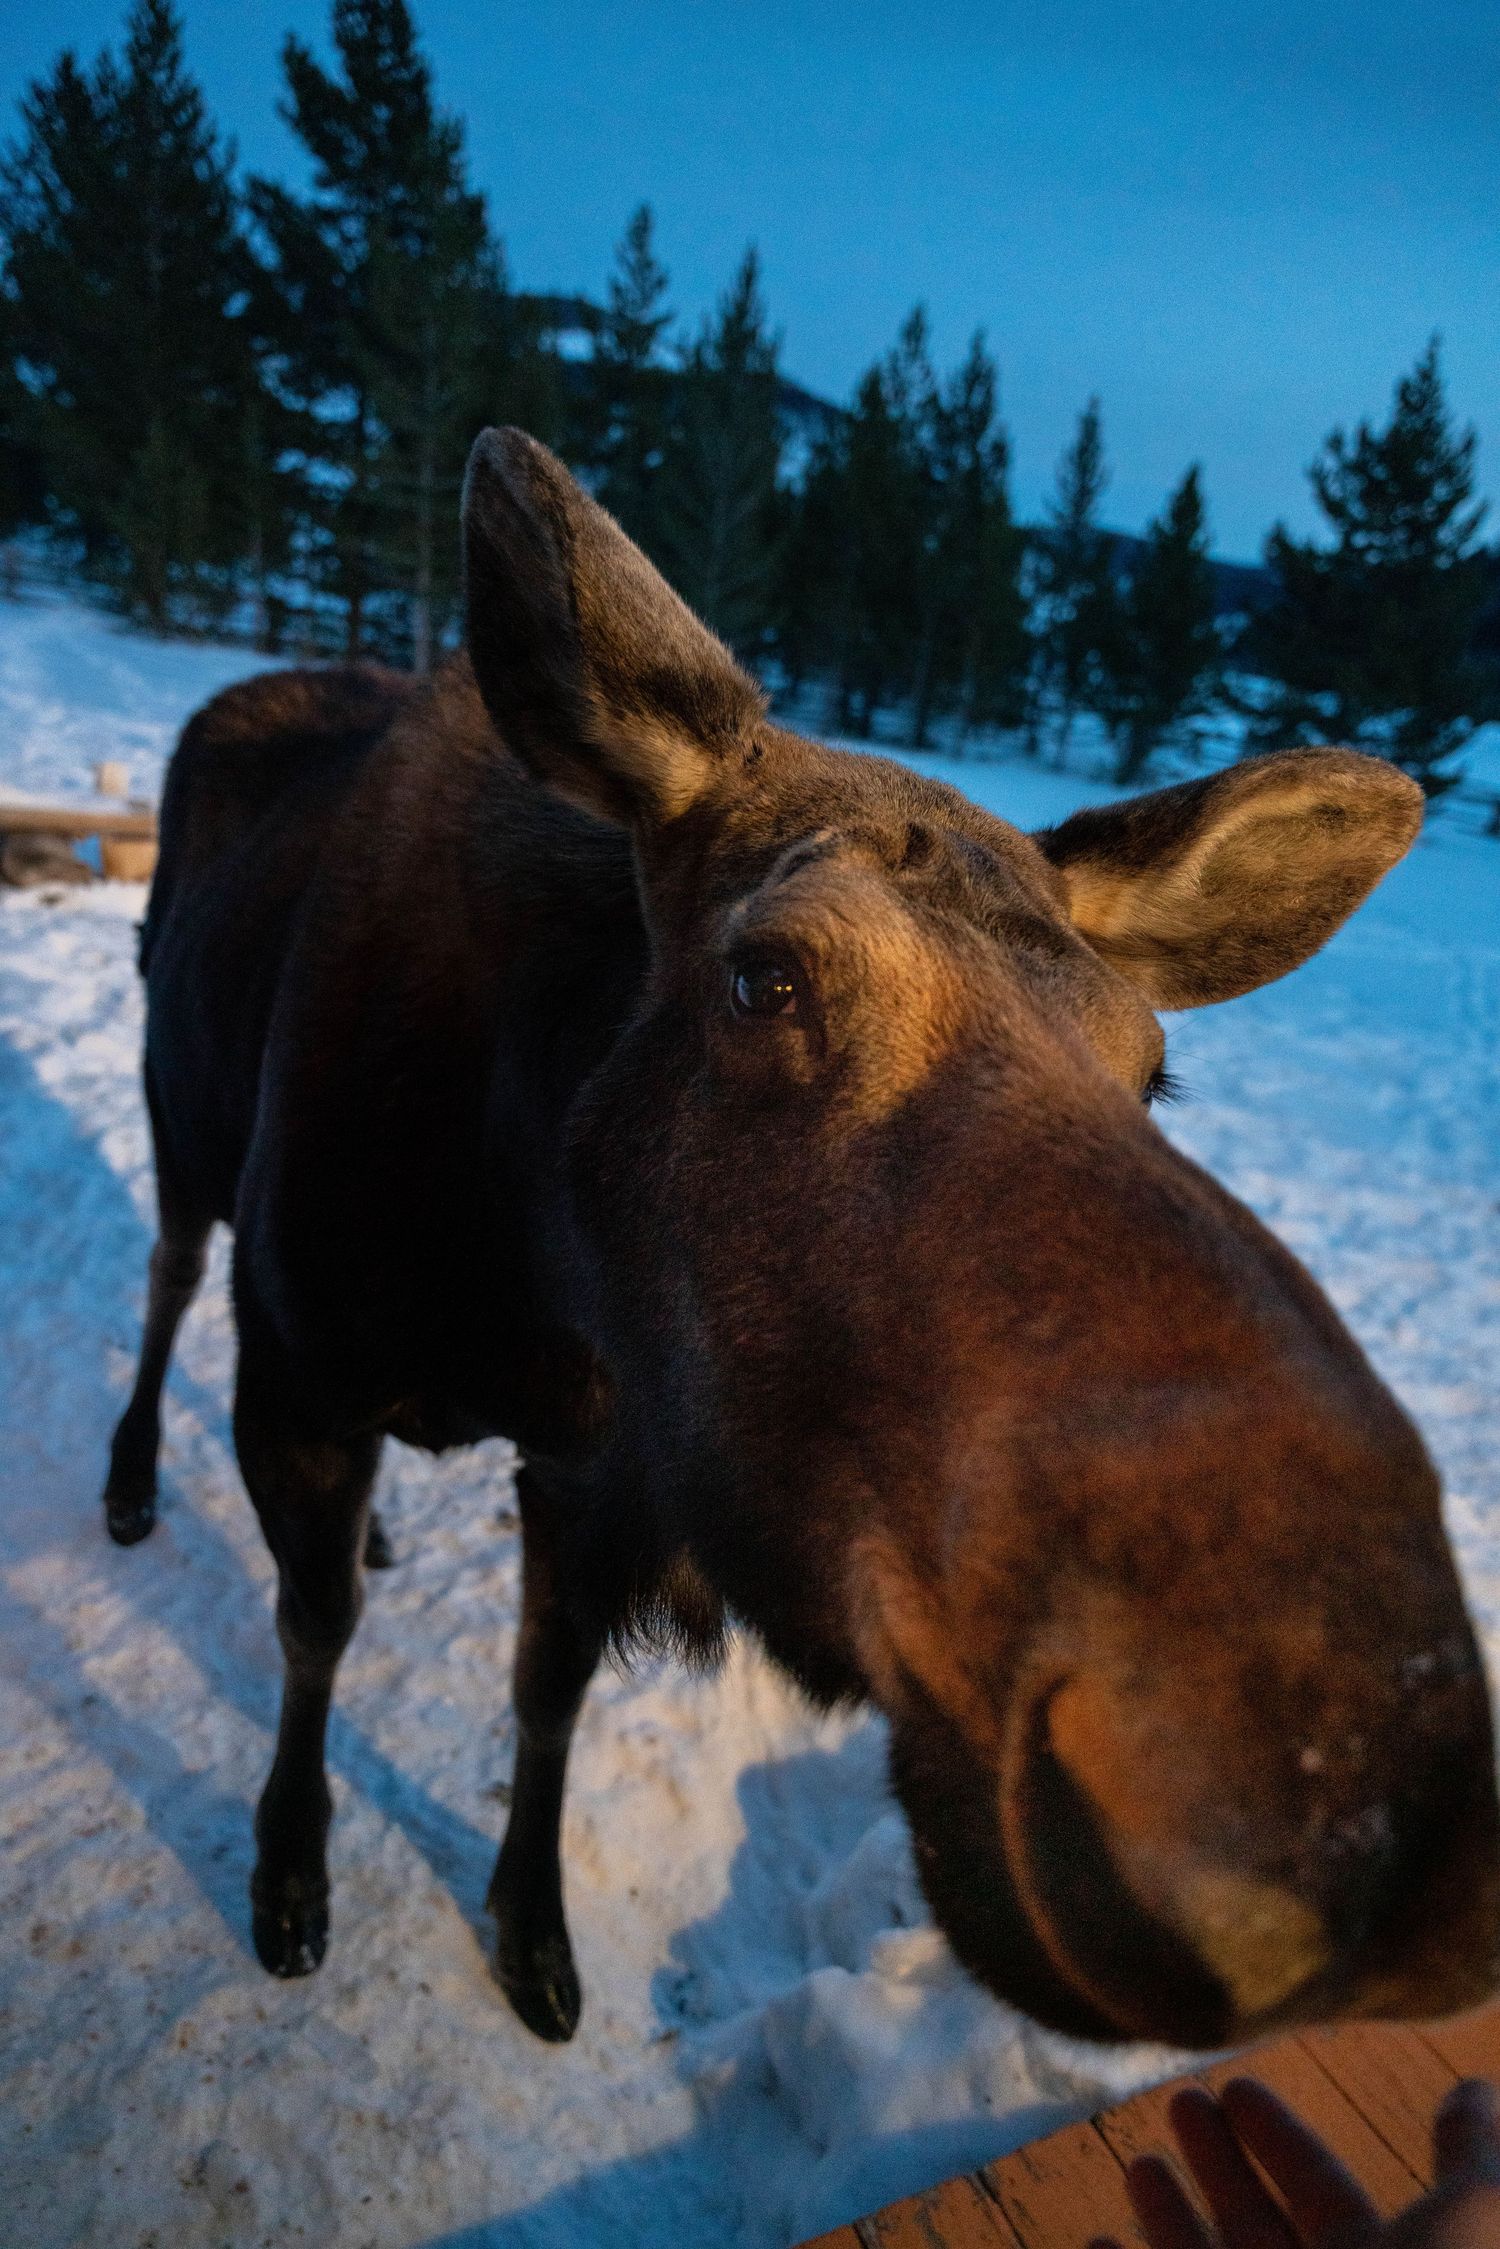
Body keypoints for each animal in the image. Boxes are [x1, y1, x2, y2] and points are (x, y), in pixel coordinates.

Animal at [102, 428, 1499, 2053]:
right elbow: (311, 1633)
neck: (522, 1276)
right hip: (180, 1121)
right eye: (766, 978)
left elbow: (544, 1694)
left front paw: (533, 1931)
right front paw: (287, 1872)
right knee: (165, 1278)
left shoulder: (589, 1469)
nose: (1345, 1818)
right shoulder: (306, 1378)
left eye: (1152, 1065)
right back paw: (131, 1478)